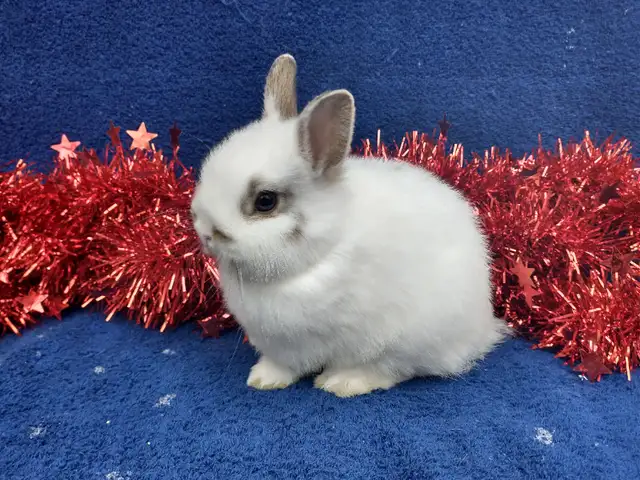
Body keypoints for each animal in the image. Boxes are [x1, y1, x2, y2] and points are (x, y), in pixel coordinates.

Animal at [191, 54, 509, 397]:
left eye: (265, 201)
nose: (206, 234)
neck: (315, 260)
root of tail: (483, 327)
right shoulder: (283, 348)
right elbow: (283, 365)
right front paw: (263, 379)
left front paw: (336, 381)